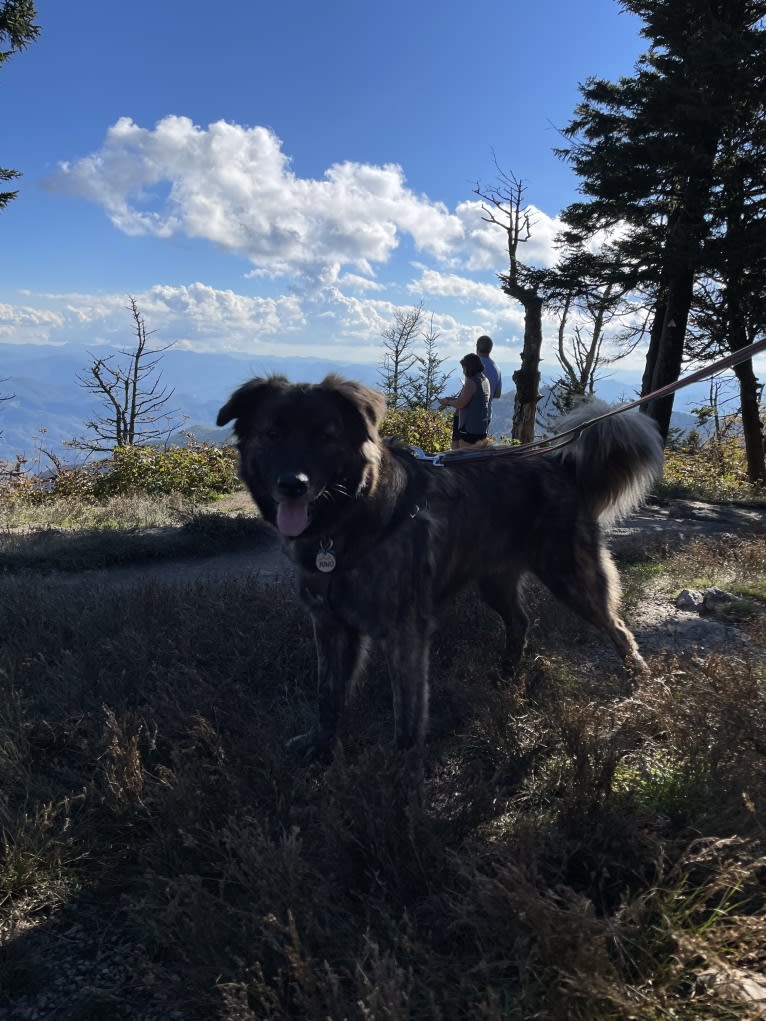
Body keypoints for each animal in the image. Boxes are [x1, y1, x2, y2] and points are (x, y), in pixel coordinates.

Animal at [217, 375, 665, 759]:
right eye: (273, 434)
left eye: (325, 436)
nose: (293, 484)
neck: (348, 523)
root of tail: (559, 466)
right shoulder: (329, 624)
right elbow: (328, 693)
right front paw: (321, 746)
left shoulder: (404, 632)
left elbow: (407, 712)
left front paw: (400, 775)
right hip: (495, 583)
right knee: (520, 622)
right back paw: (506, 675)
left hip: (572, 579)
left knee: (618, 628)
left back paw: (640, 685)